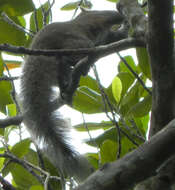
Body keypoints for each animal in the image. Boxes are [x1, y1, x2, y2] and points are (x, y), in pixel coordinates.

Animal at [19, 8, 128, 183]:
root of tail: (41, 47)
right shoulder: (98, 17)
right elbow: (110, 16)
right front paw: (124, 17)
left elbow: (113, 35)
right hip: (76, 42)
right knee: (77, 52)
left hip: (58, 63)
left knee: (62, 68)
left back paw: (65, 89)